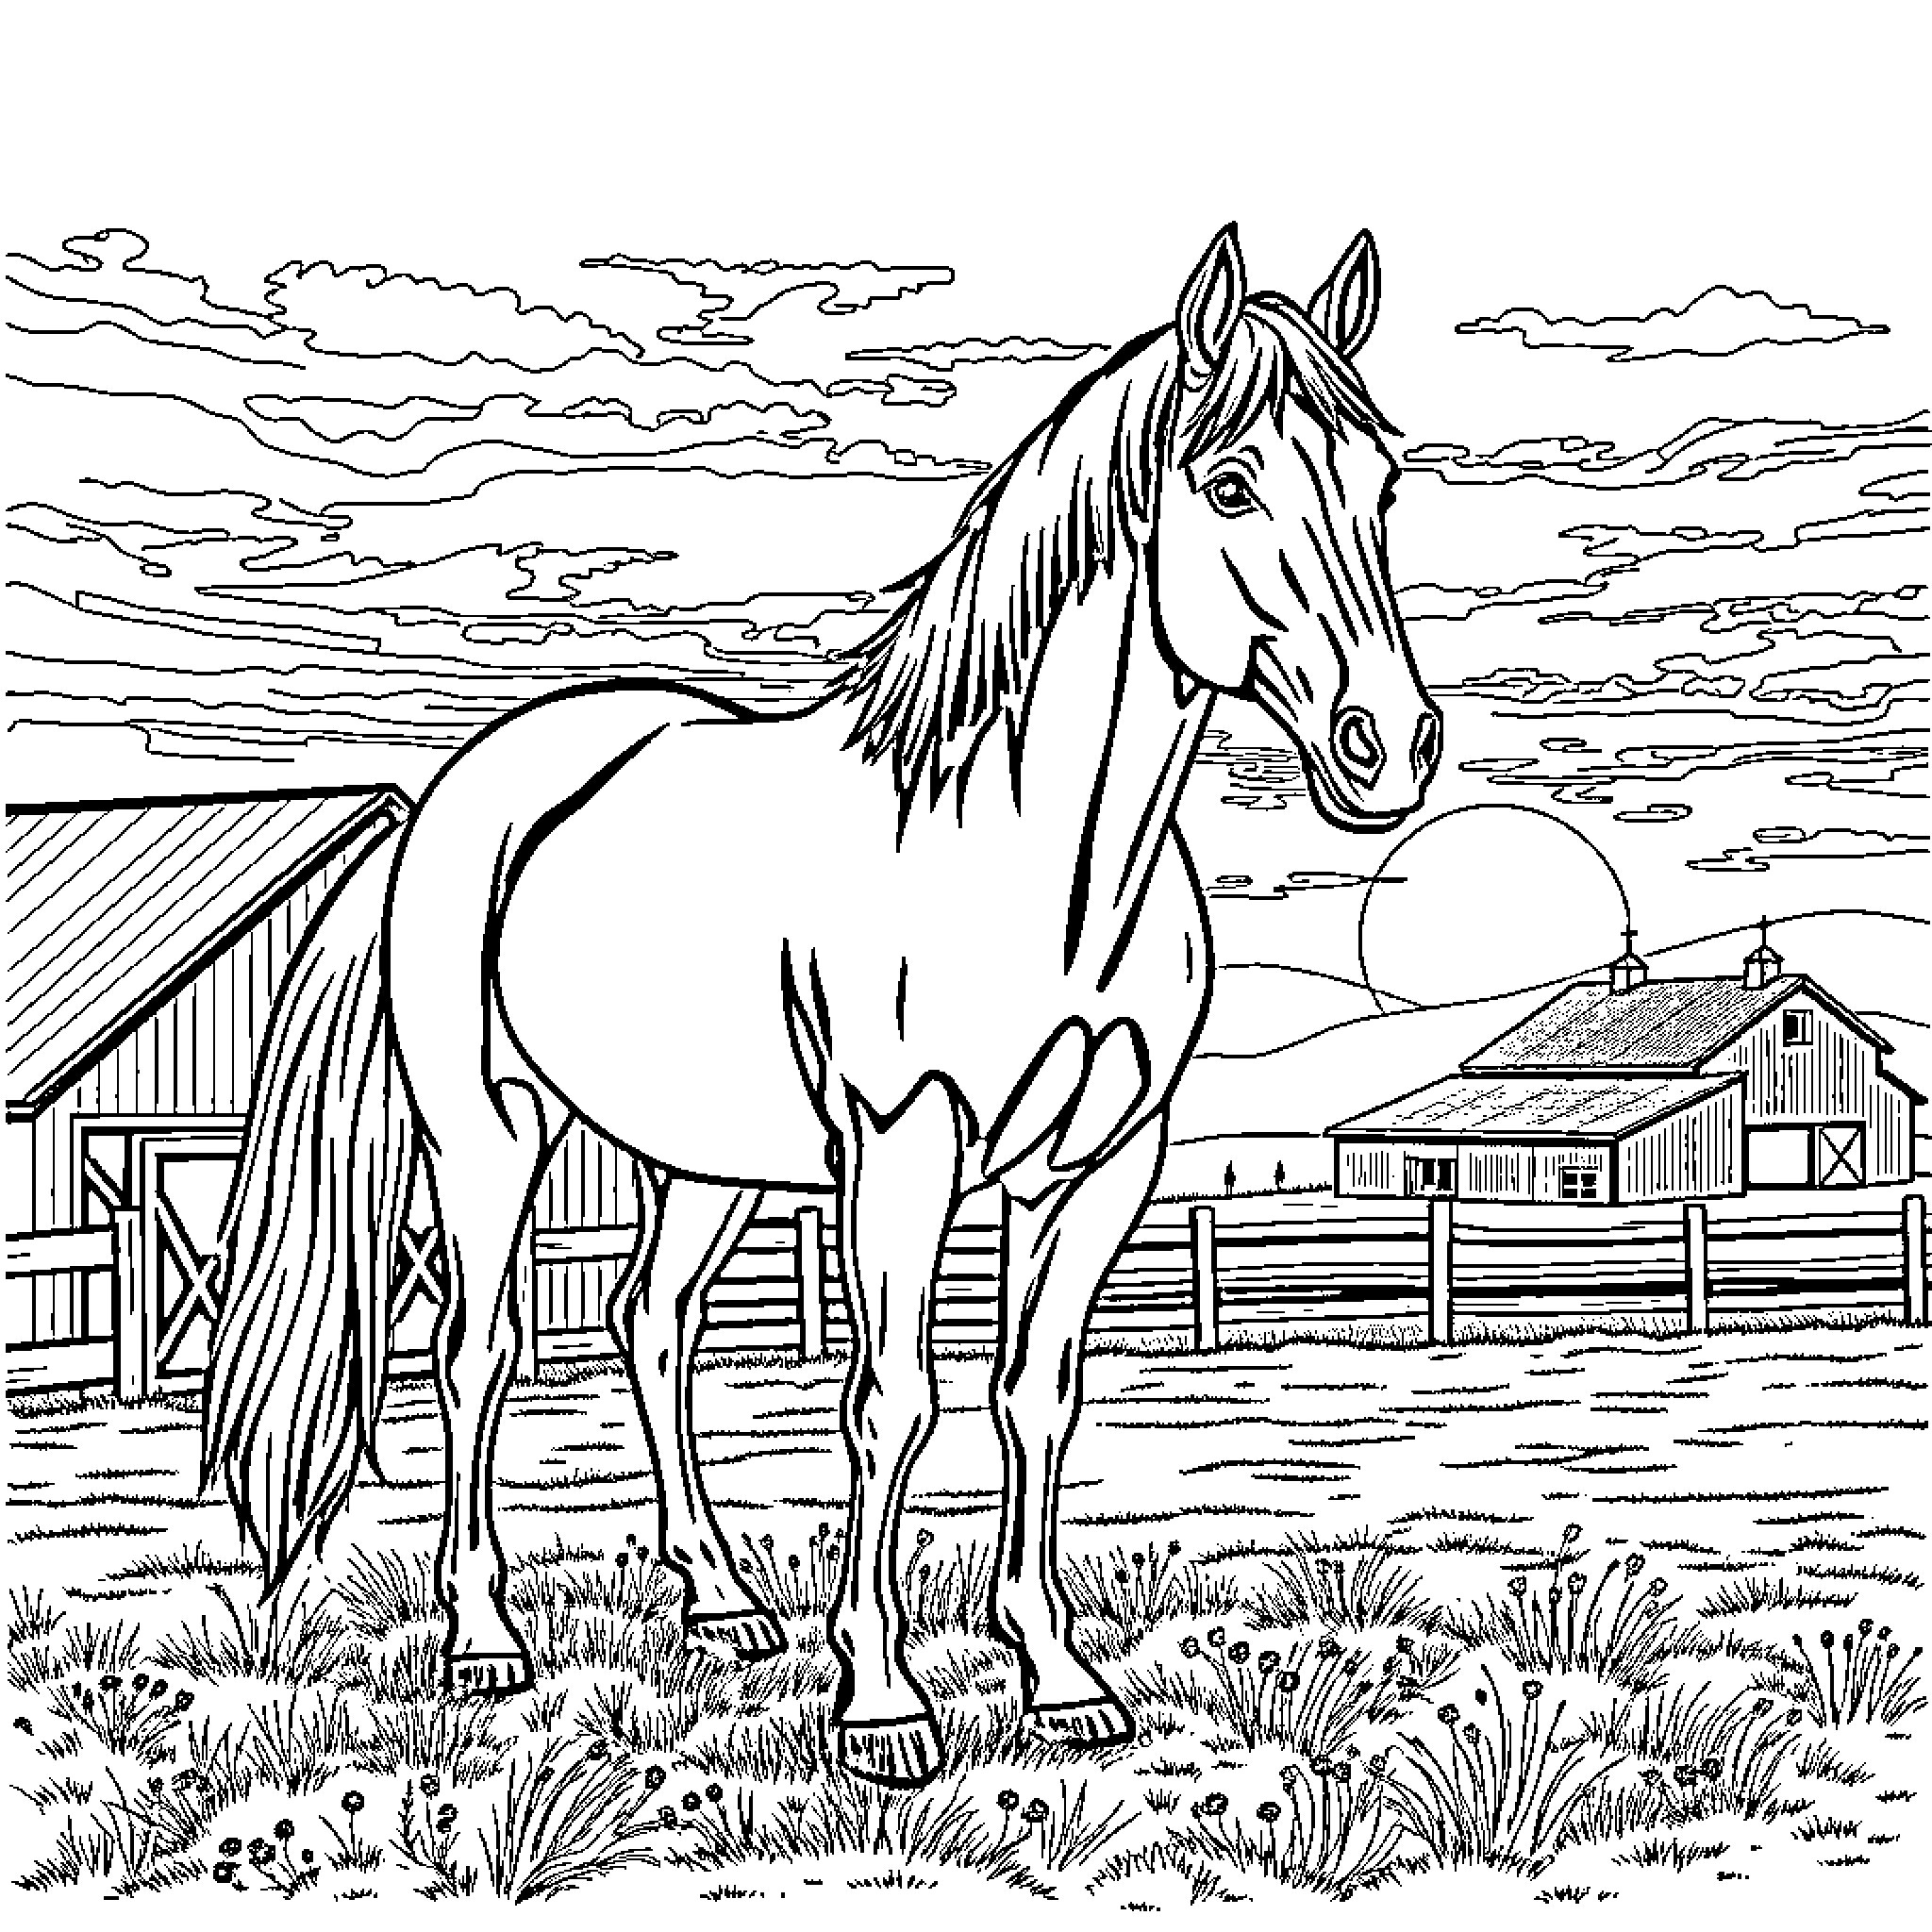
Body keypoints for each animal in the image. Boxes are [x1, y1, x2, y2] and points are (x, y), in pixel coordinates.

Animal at [203, 221, 1442, 1788]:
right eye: (1229, 484)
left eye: (1385, 485)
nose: (1391, 745)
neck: (1037, 857)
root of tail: (457, 787)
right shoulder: (905, 1143)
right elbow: (893, 1398)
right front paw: (882, 1704)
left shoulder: (1101, 1166)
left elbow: (1035, 1395)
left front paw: (1056, 1677)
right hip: (492, 1136)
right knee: (477, 1356)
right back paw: (484, 1640)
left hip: (705, 1163)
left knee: (651, 1325)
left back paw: (723, 1603)